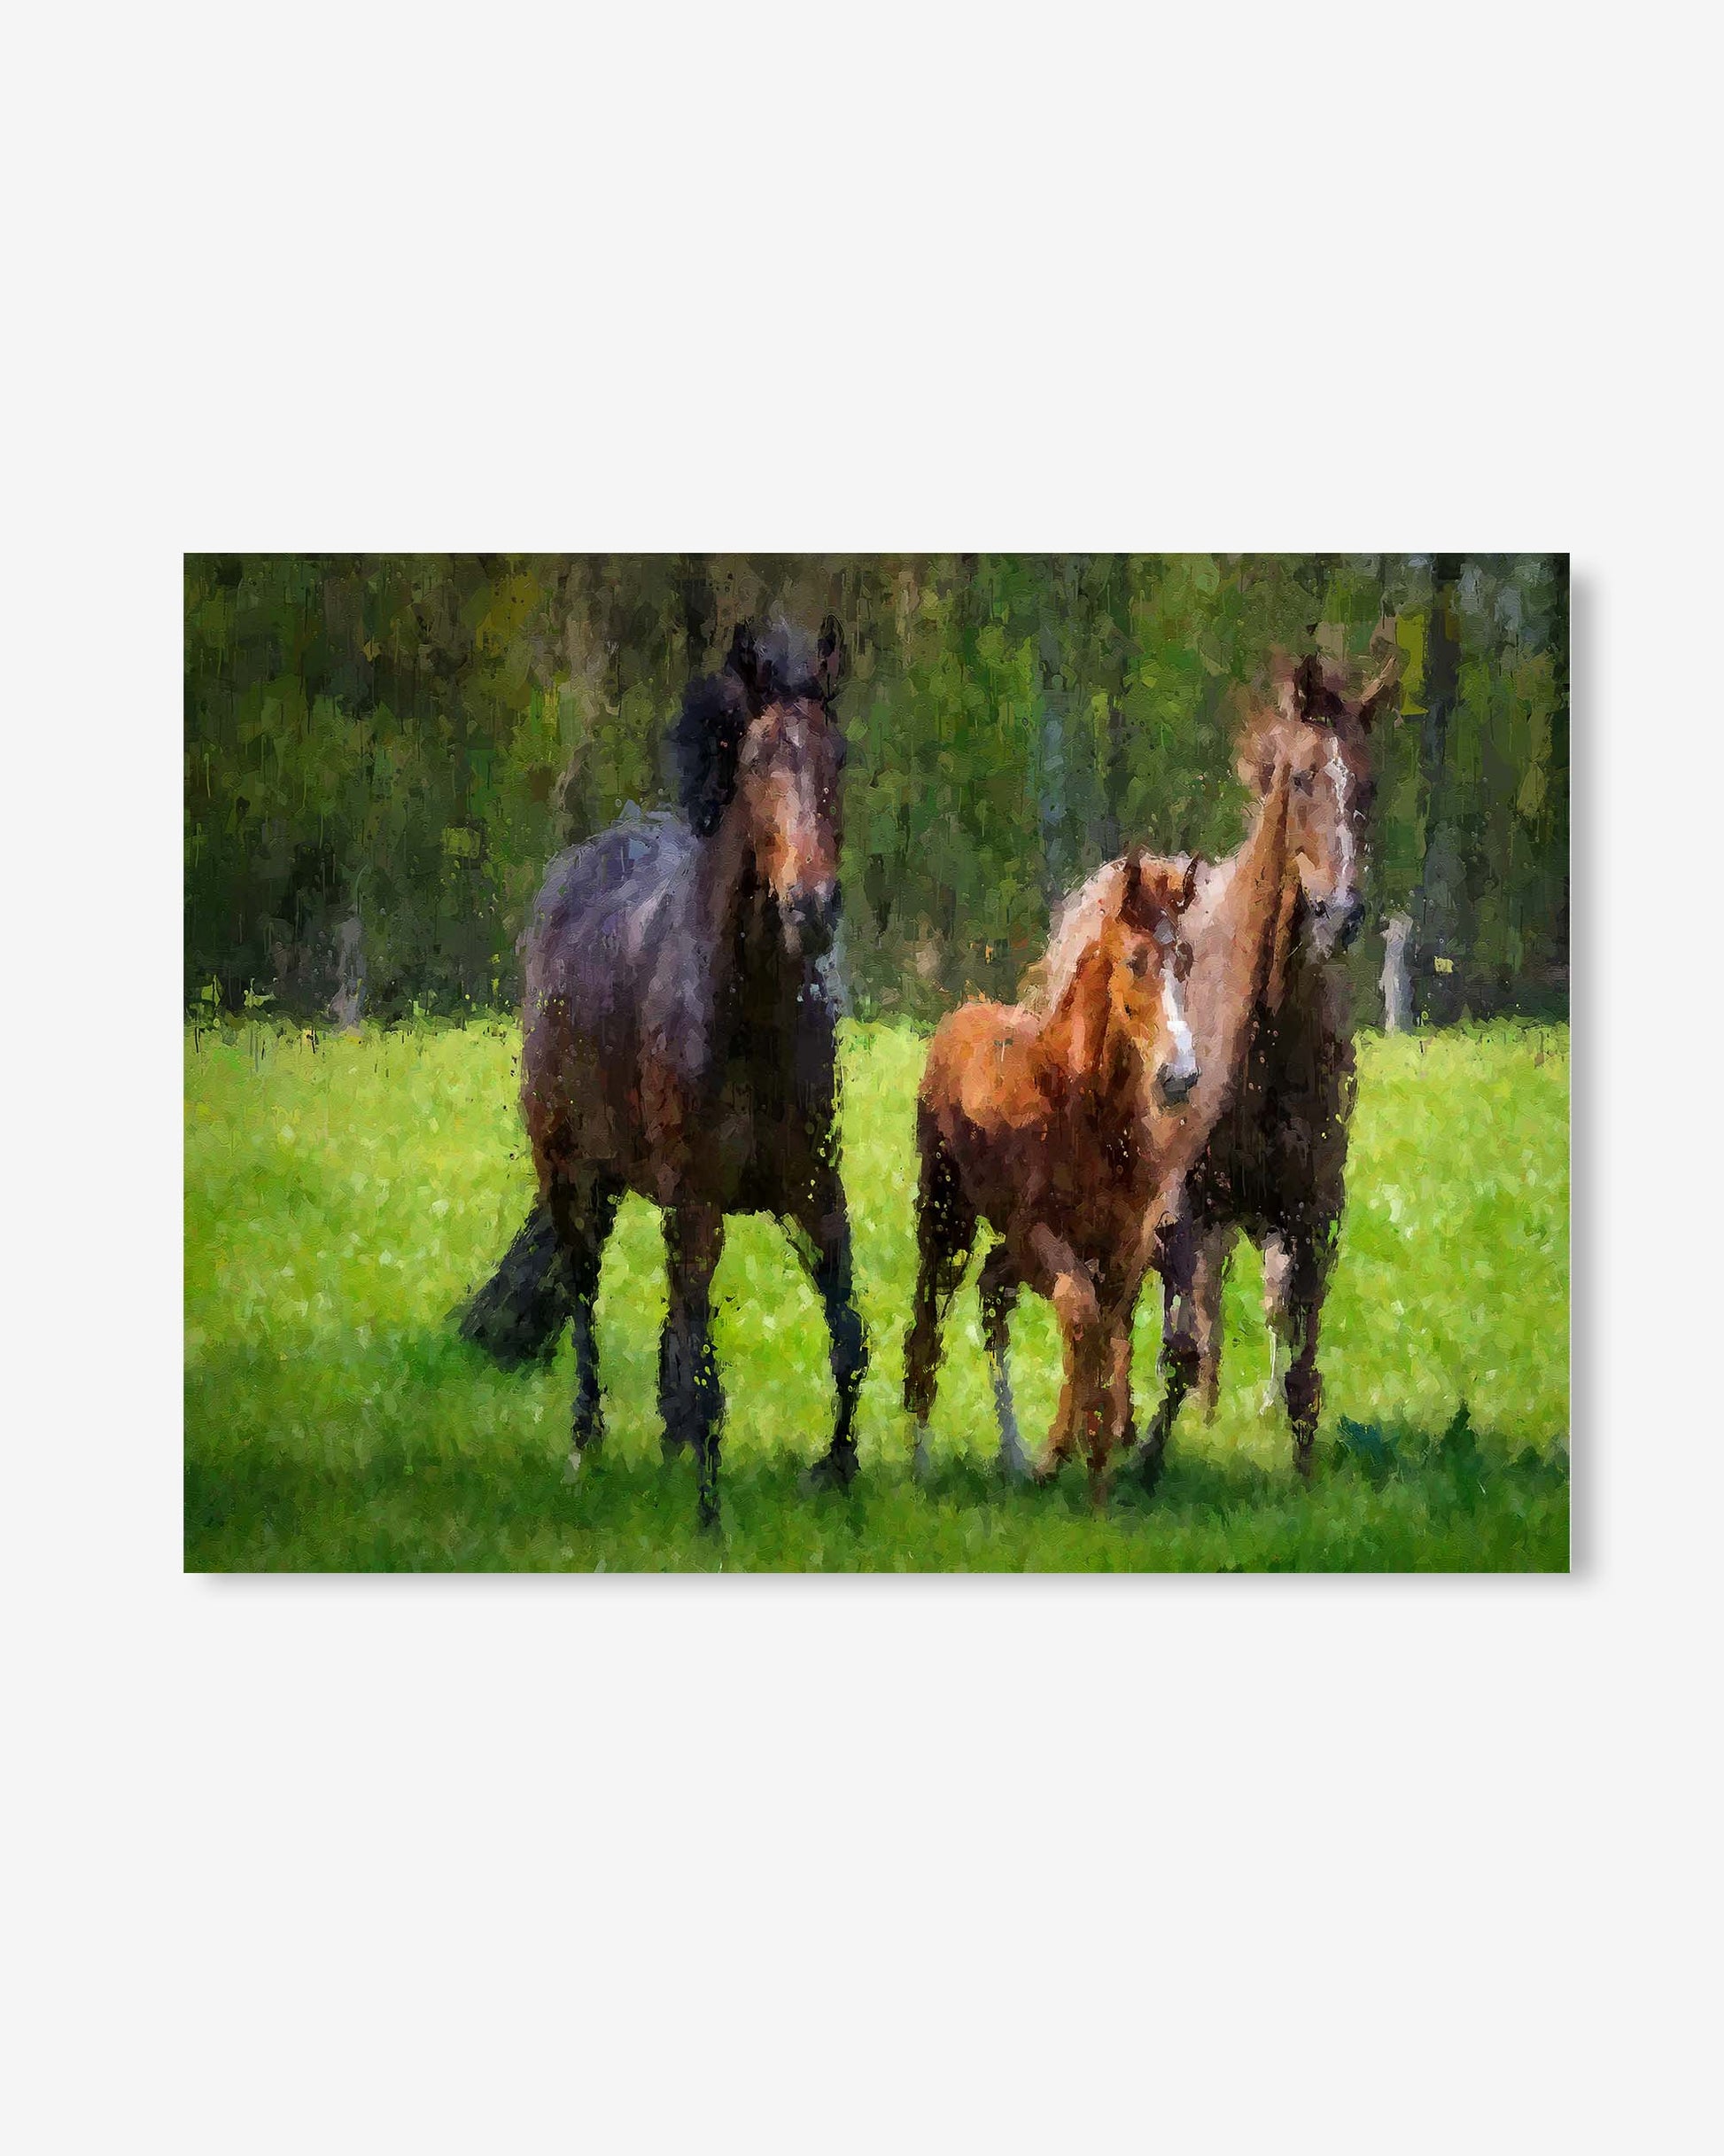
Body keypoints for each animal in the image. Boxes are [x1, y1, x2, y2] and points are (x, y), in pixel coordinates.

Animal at [457, 617, 866, 1526]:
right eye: (757, 760)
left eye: (839, 755)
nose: (814, 907)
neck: (747, 1015)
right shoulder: (699, 1197)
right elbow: (702, 1359)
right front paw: (710, 1517)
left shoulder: (813, 1187)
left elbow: (847, 1333)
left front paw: (836, 1471)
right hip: (571, 1174)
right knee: (584, 1297)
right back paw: (588, 1442)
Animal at [901, 850, 1214, 1503]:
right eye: (1135, 961)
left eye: (1187, 960)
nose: (1180, 1077)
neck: (1083, 1112)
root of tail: (962, 1013)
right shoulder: (1039, 1236)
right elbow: (1081, 1313)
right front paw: (1073, 1452)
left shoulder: (1125, 1247)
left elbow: (1106, 1331)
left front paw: (1090, 1465)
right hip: (946, 1219)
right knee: (931, 1318)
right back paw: (922, 1459)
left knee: (994, 1293)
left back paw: (1016, 1456)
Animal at [1032, 645, 1400, 1482]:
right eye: (1301, 777)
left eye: (1369, 783)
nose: (1340, 914)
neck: (1267, 1037)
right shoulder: (1181, 1207)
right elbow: (1174, 1344)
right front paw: (1145, 1462)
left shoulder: (1312, 1211)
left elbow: (1298, 1358)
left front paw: (1302, 1473)